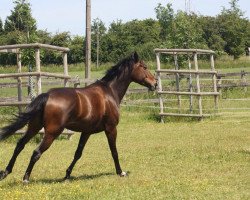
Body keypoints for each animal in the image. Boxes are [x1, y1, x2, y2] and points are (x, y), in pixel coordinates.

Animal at [0, 52, 156, 183]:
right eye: (145, 67)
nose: (154, 83)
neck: (109, 92)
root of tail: (47, 95)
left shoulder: (86, 132)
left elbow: (78, 153)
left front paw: (67, 174)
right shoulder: (111, 129)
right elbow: (114, 151)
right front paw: (120, 172)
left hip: (34, 127)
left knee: (20, 145)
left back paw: (5, 173)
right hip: (51, 133)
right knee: (36, 152)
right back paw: (25, 178)